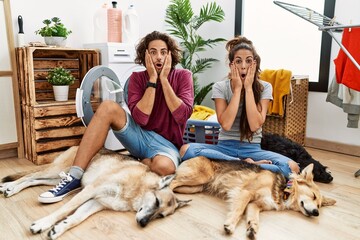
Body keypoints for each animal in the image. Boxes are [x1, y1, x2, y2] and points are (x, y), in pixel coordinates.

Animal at [0, 146, 188, 240]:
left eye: (161, 216)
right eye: (156, 202)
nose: (143, 223)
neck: (136, 189)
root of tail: (77, 145)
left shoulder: (95, 203)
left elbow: (75, 218)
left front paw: (59, 228)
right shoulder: (90, 191)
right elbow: (64, 210)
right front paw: (43, 223)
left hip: (55, 178)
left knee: (33, 180)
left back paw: (10, 188)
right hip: (58, 170)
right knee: (30, 175)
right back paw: (8, 186)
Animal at [170, 157, 336, 239]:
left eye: (319, 205)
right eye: (313, 196)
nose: (316, 213)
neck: (283, 189)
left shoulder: (255, 205)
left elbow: (254, 218)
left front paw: (252, 229)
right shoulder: (245, 192)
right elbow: (238, 211)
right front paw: (230, 225)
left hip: (195, 187)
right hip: (200, 177)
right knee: (171, 182)